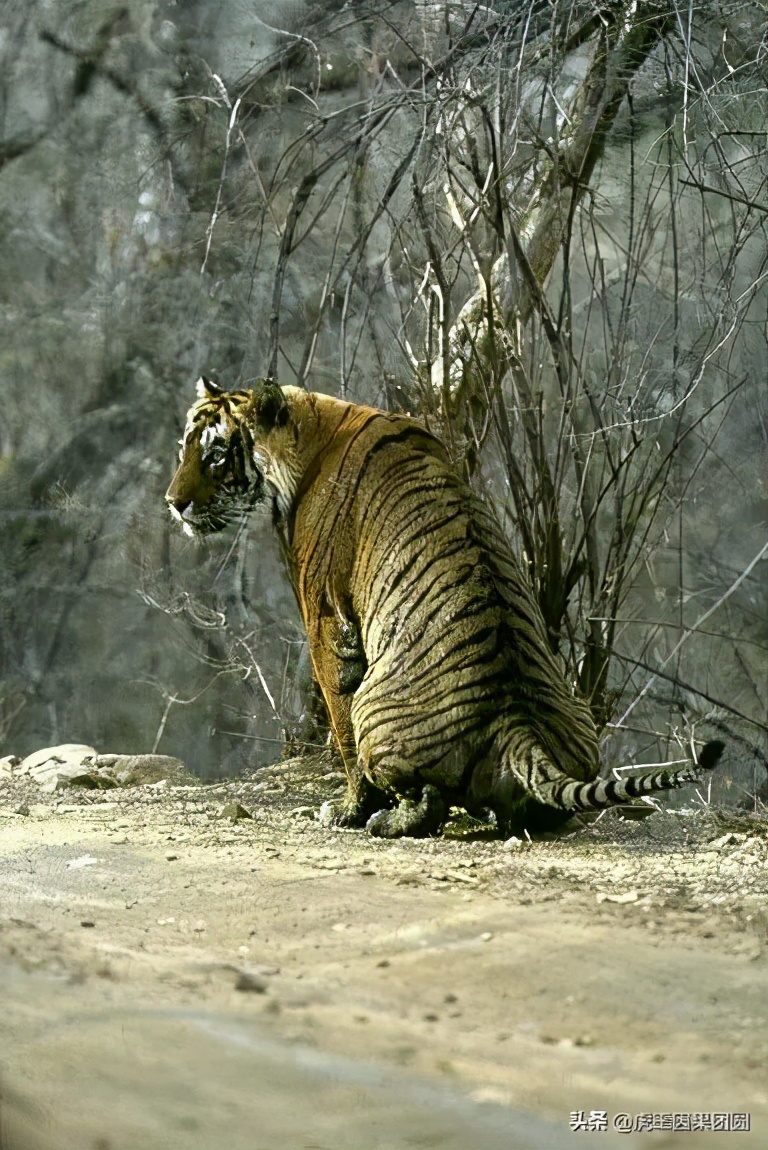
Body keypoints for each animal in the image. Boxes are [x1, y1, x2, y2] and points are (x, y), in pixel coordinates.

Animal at [166, 376, 723, 837]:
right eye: (183, 450)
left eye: (216, 454)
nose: (174, 503)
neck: (311, 432)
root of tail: (516, 722)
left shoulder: (325, 620)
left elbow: (339, 730)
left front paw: (346, 812)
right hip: (579, 722)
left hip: (374, 708)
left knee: (424, 796)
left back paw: (390, 820)